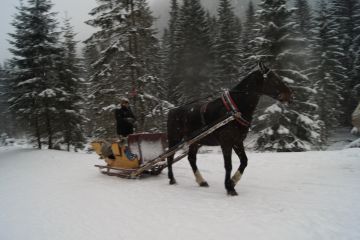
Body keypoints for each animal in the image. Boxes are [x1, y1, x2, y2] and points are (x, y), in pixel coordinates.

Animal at [166, 62, 292, 196]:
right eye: (274, 79)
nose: (290, 95)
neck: (235, 108)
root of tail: (172, 110)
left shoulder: (237, 141)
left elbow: (244, 161)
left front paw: (232, 182)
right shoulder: (226, 142)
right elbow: (228, 165)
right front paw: (229, 188)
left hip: (195, 141)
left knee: (191, 158)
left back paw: (201, 181)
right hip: (174, 138)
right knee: (170, 156)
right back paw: (172, 179)